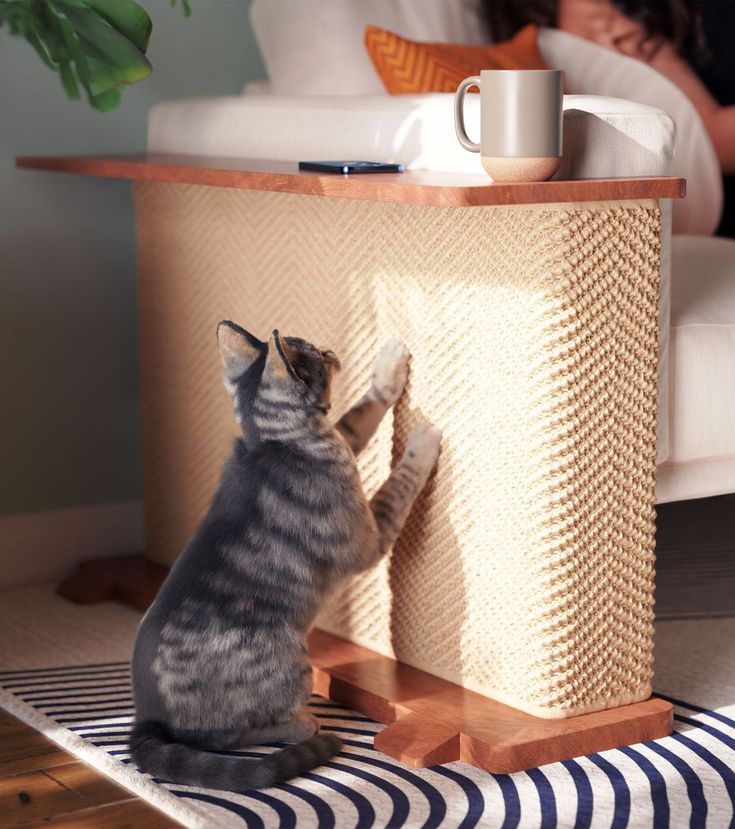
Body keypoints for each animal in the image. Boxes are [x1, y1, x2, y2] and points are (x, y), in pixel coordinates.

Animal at [131, 322, 442, 788]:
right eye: (311, 354)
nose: (330, 349)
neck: (270, 442)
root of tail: (147, 719)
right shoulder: (366, 538)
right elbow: (397, 486)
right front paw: (423, 441)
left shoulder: (343, 435)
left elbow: (359, 414)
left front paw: (387, 370)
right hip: (289, 659)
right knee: (224, 736)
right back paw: (301, 724)